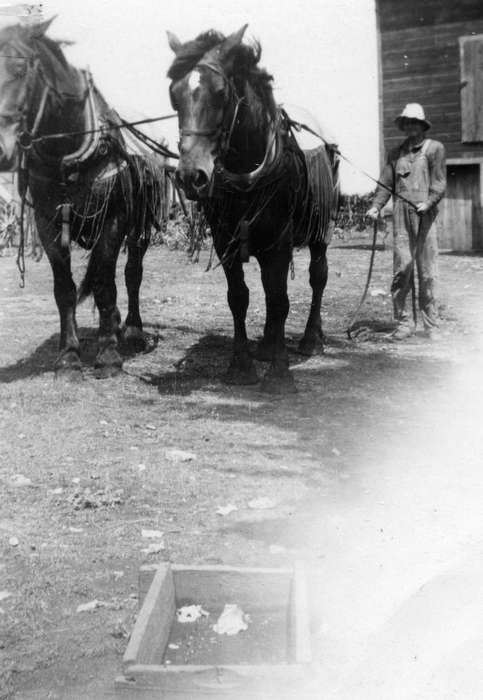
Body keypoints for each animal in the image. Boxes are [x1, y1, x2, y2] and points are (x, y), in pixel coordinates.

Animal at [0, 19, 169, 378]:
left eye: (20, 69)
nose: (1, 150)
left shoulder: (113, 219)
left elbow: (106, 284)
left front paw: (108, 355)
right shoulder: (47, 222)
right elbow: (64, 289)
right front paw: (68, 355)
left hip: (140, 226)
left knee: (132, 272)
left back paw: (131, 329)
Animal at [167, 26, 340, 394]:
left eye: (220, 93)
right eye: (174, 95)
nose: (190, 176)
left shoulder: (280, 240)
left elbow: (280, 299)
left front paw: (279, 373)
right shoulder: (227, 241)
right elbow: (240, 298)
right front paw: (242, 365)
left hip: (320, 230)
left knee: (317, 278)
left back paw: (311, 339)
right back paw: (266, 345)